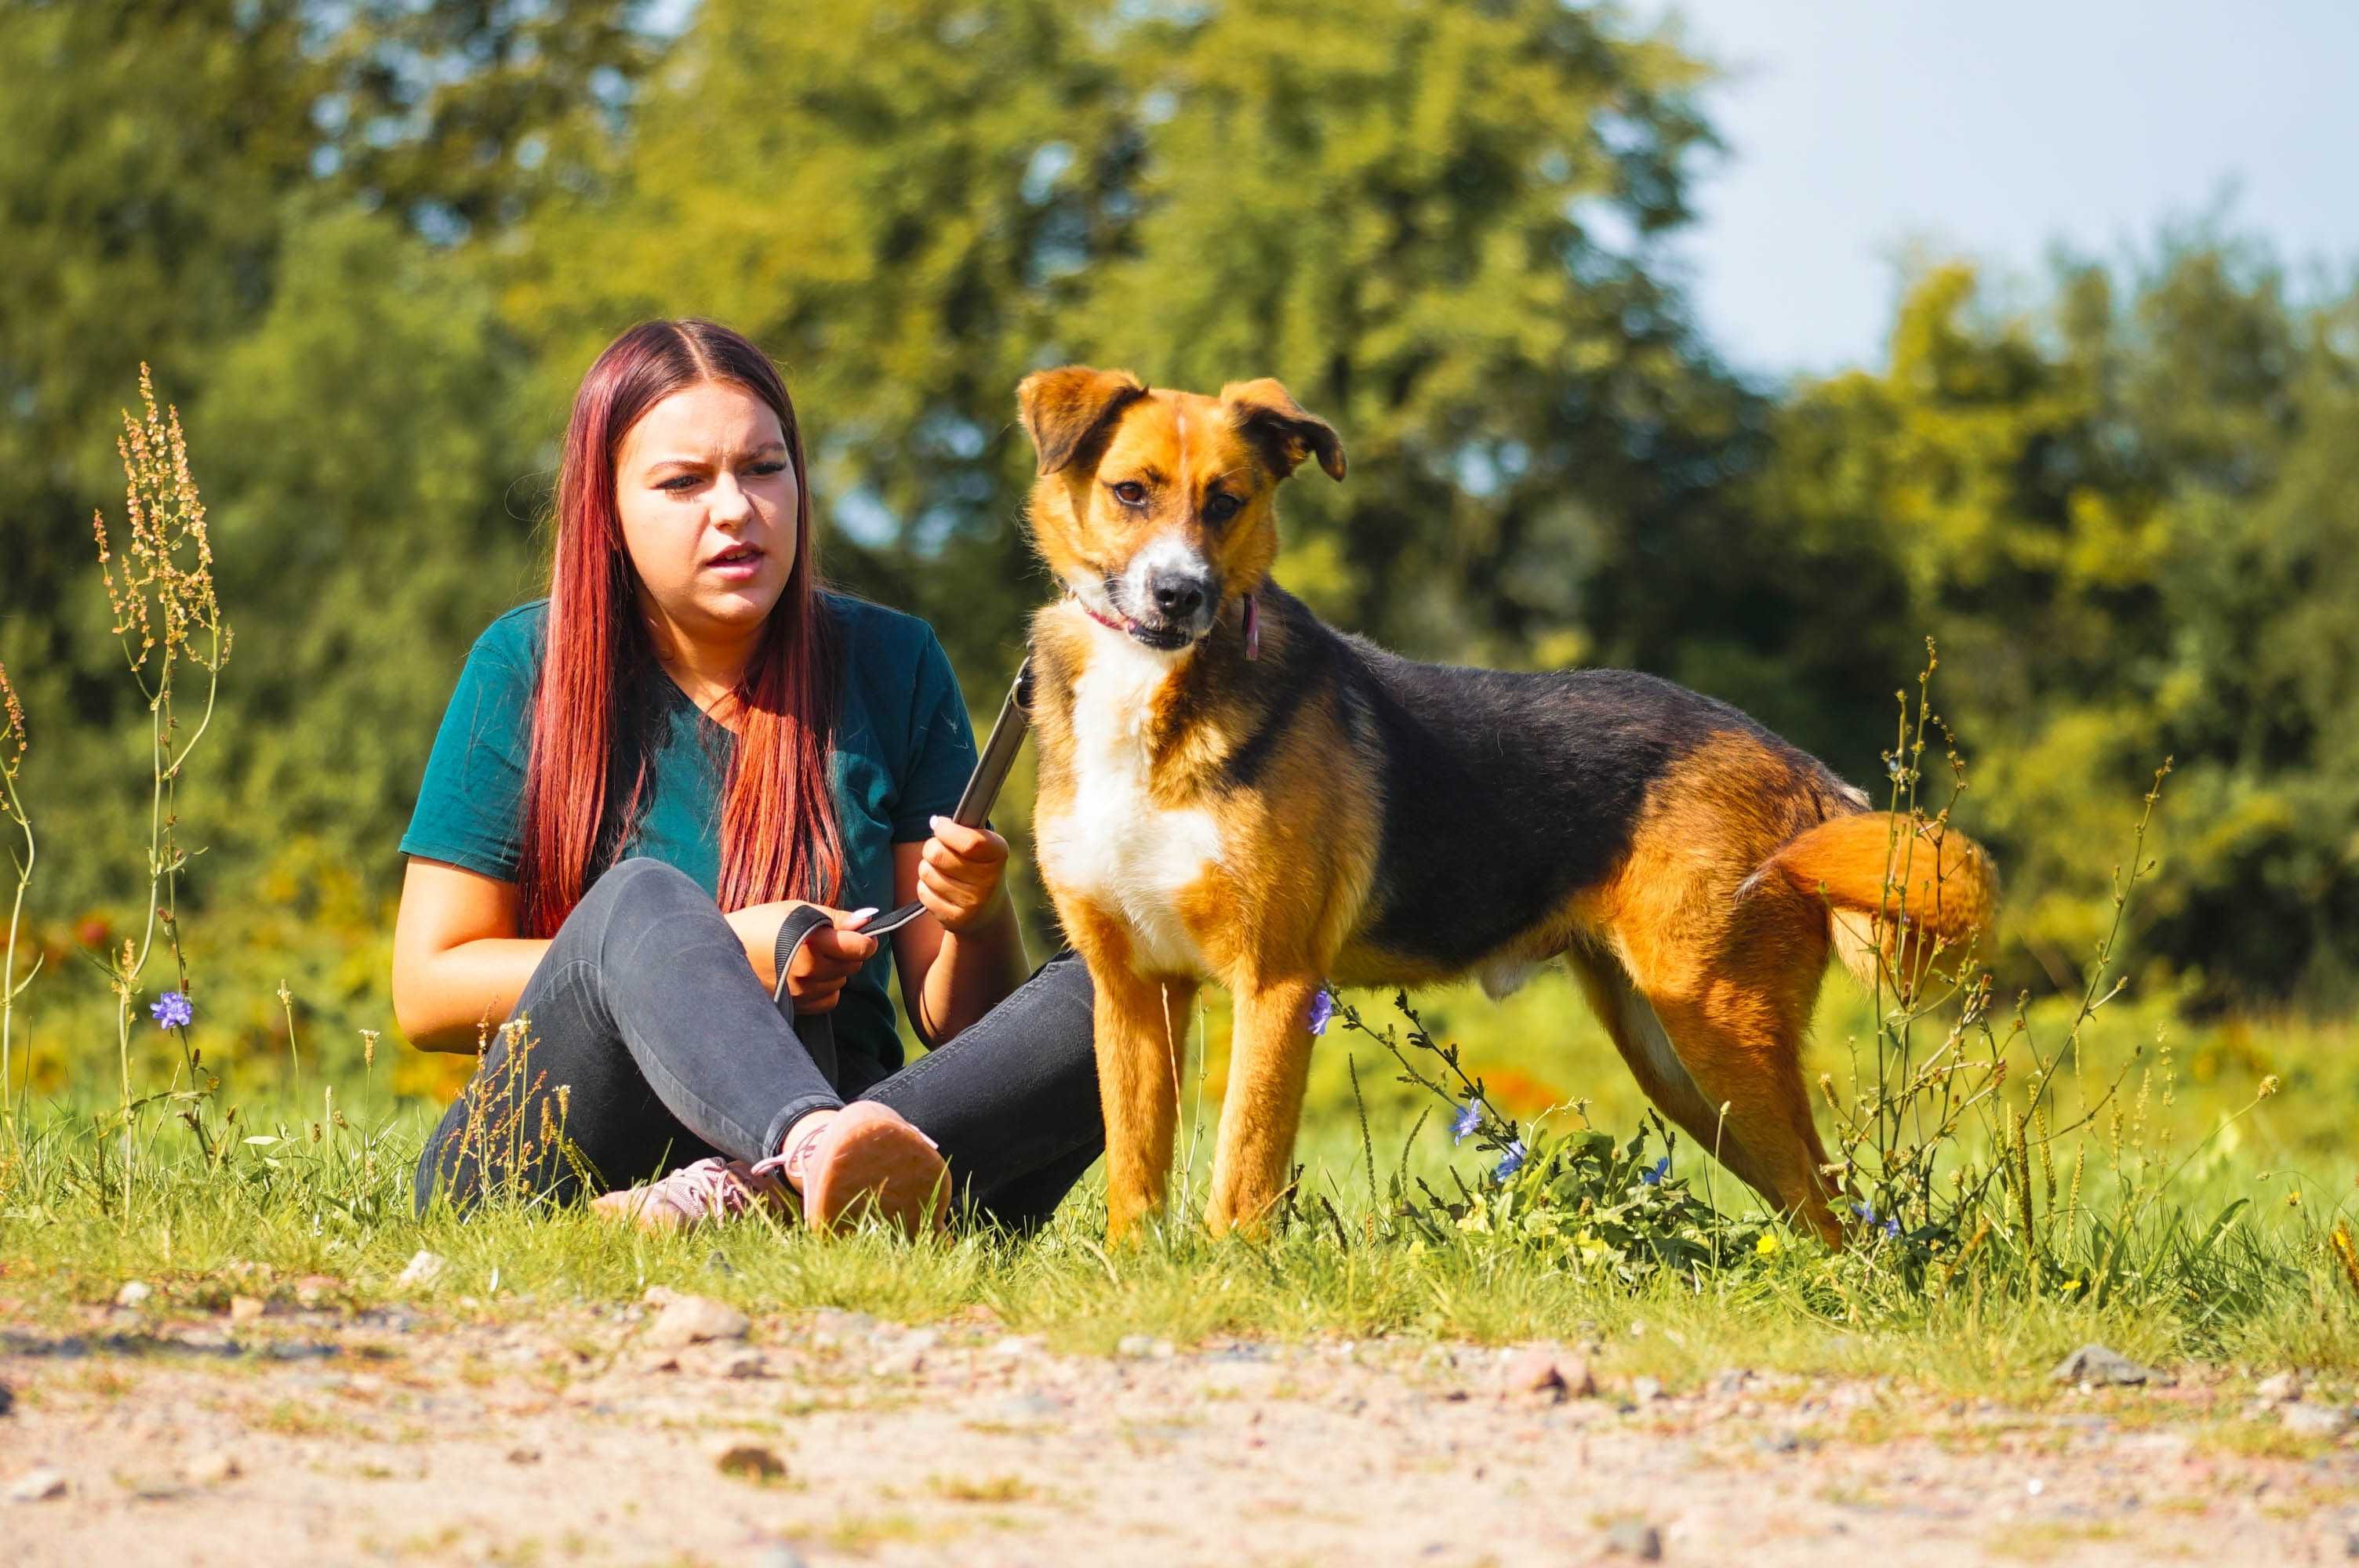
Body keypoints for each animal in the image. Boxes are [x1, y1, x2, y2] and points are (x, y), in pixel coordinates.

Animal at [1009, 361, 1990, 1244]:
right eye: (1129, 492)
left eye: (1225, 501)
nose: (1180, 595)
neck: (1152, 690)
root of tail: (1803, 772)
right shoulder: (1131, 989)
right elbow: (1134, 1171)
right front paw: (1134, 1275)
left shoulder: (1274, 982)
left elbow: (1242, 1173)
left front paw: (1229, 1275)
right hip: (1679, 1057)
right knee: (1815, 1204)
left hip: (1720, 1033)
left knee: (1835, 1210)